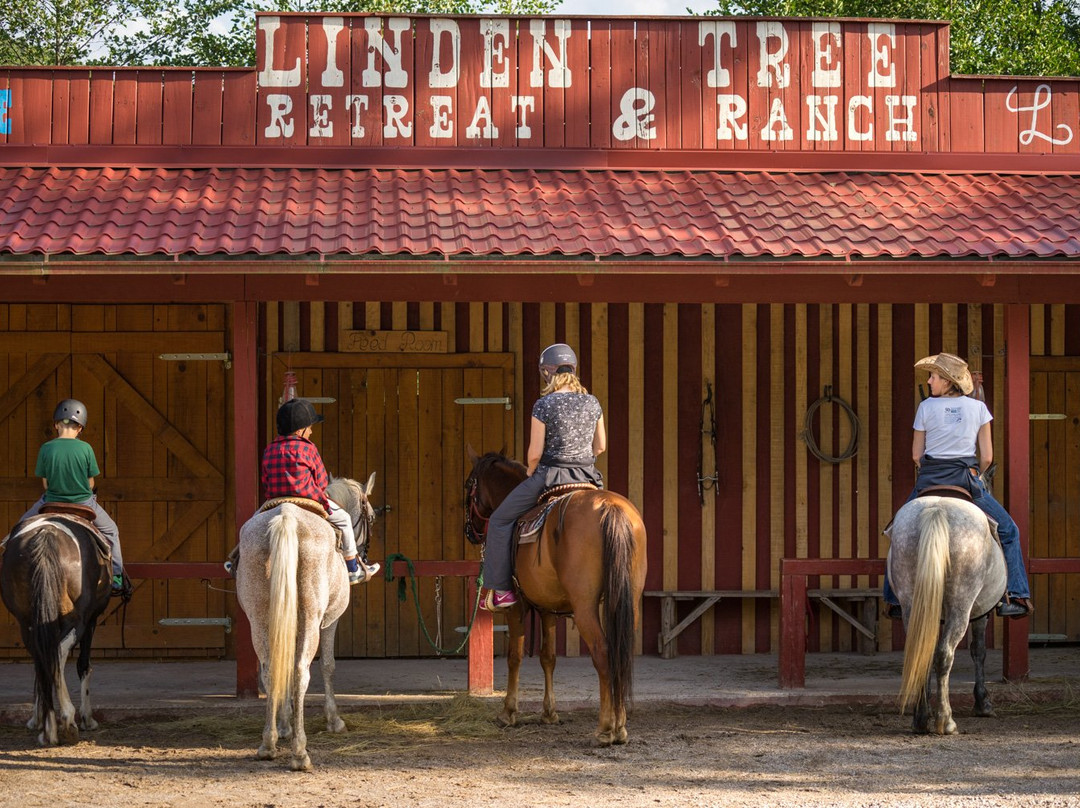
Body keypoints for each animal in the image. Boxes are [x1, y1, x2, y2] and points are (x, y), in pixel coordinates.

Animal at [0, 512, 110, 743]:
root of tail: (46, 534)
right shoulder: (91, 620)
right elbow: (84, 664)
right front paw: (87, 719)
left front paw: (36, 720)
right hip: (77, 620)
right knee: (57, 652)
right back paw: (67, 719)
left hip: (27, 621)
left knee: (42, 657)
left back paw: (48, 728)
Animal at [235, 473, 375, 769]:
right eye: (371, 516)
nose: (364, 555)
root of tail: (286, 516)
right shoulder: (330, 620)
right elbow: (327, 665)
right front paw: (334, 720)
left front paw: (285, 725)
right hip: (311, 620)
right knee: (301, 671)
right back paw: (299, 751)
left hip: (259, 619)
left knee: (270, 669)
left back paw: (269, 743)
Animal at [466, 447, 648, 743]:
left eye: (468, 485)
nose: (470, 532)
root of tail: (610, 507)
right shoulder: (547, 608)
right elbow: (548, 657)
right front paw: (549, 713)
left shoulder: (518, 607)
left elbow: (515, 656)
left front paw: (508, 712)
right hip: (629, 602)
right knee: (621, 654)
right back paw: (620, 726)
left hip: (585, 608)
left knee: (603, 653)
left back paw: (606, 729)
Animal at [885, 494, 1002, 734]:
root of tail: (937, 508)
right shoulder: (981, 613)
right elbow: (979, 651)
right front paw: (983, 703)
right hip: (961, 604)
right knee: (944, 654)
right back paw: (946, 720)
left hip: (912, 603)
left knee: (923, 653)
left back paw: (920, 719)